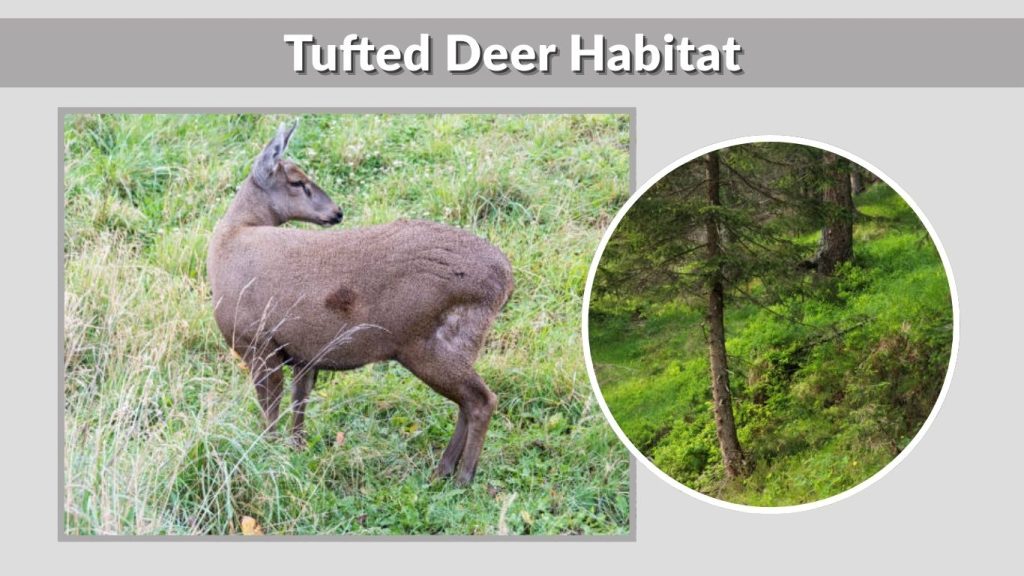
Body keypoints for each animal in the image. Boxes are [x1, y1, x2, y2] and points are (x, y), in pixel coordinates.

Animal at [206, 122, 514, 485]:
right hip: (460, 344)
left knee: (482, 399)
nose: (336, 212)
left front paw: (267, 451)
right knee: (468, 402)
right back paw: (443, 470)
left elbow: (271, 406)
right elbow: (299, 401)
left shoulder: (256, 341)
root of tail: (504, 280)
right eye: (297, 181)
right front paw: (295, 449)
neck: (232, 238)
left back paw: (463, 476)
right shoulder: (304, 351)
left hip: (426, 342)